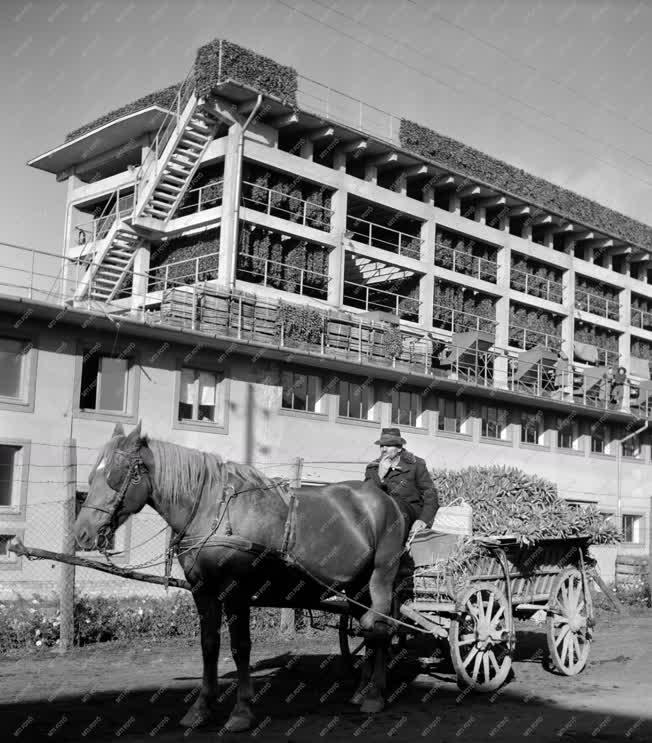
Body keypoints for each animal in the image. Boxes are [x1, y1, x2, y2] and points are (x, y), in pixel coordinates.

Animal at [75, 424, 408, 732]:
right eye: (92, 475)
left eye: (116, 475)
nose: (83, 533)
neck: (213, 510)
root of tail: (387, 501)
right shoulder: (202, 591)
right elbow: (209, 646)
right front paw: (201, 708)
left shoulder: (236, 591)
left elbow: (240, 647)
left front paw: (241, 712)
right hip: (356, 587)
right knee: (367, 629)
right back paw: (362, 689)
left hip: (381, 578)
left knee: (381, 628)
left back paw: (375, 695)